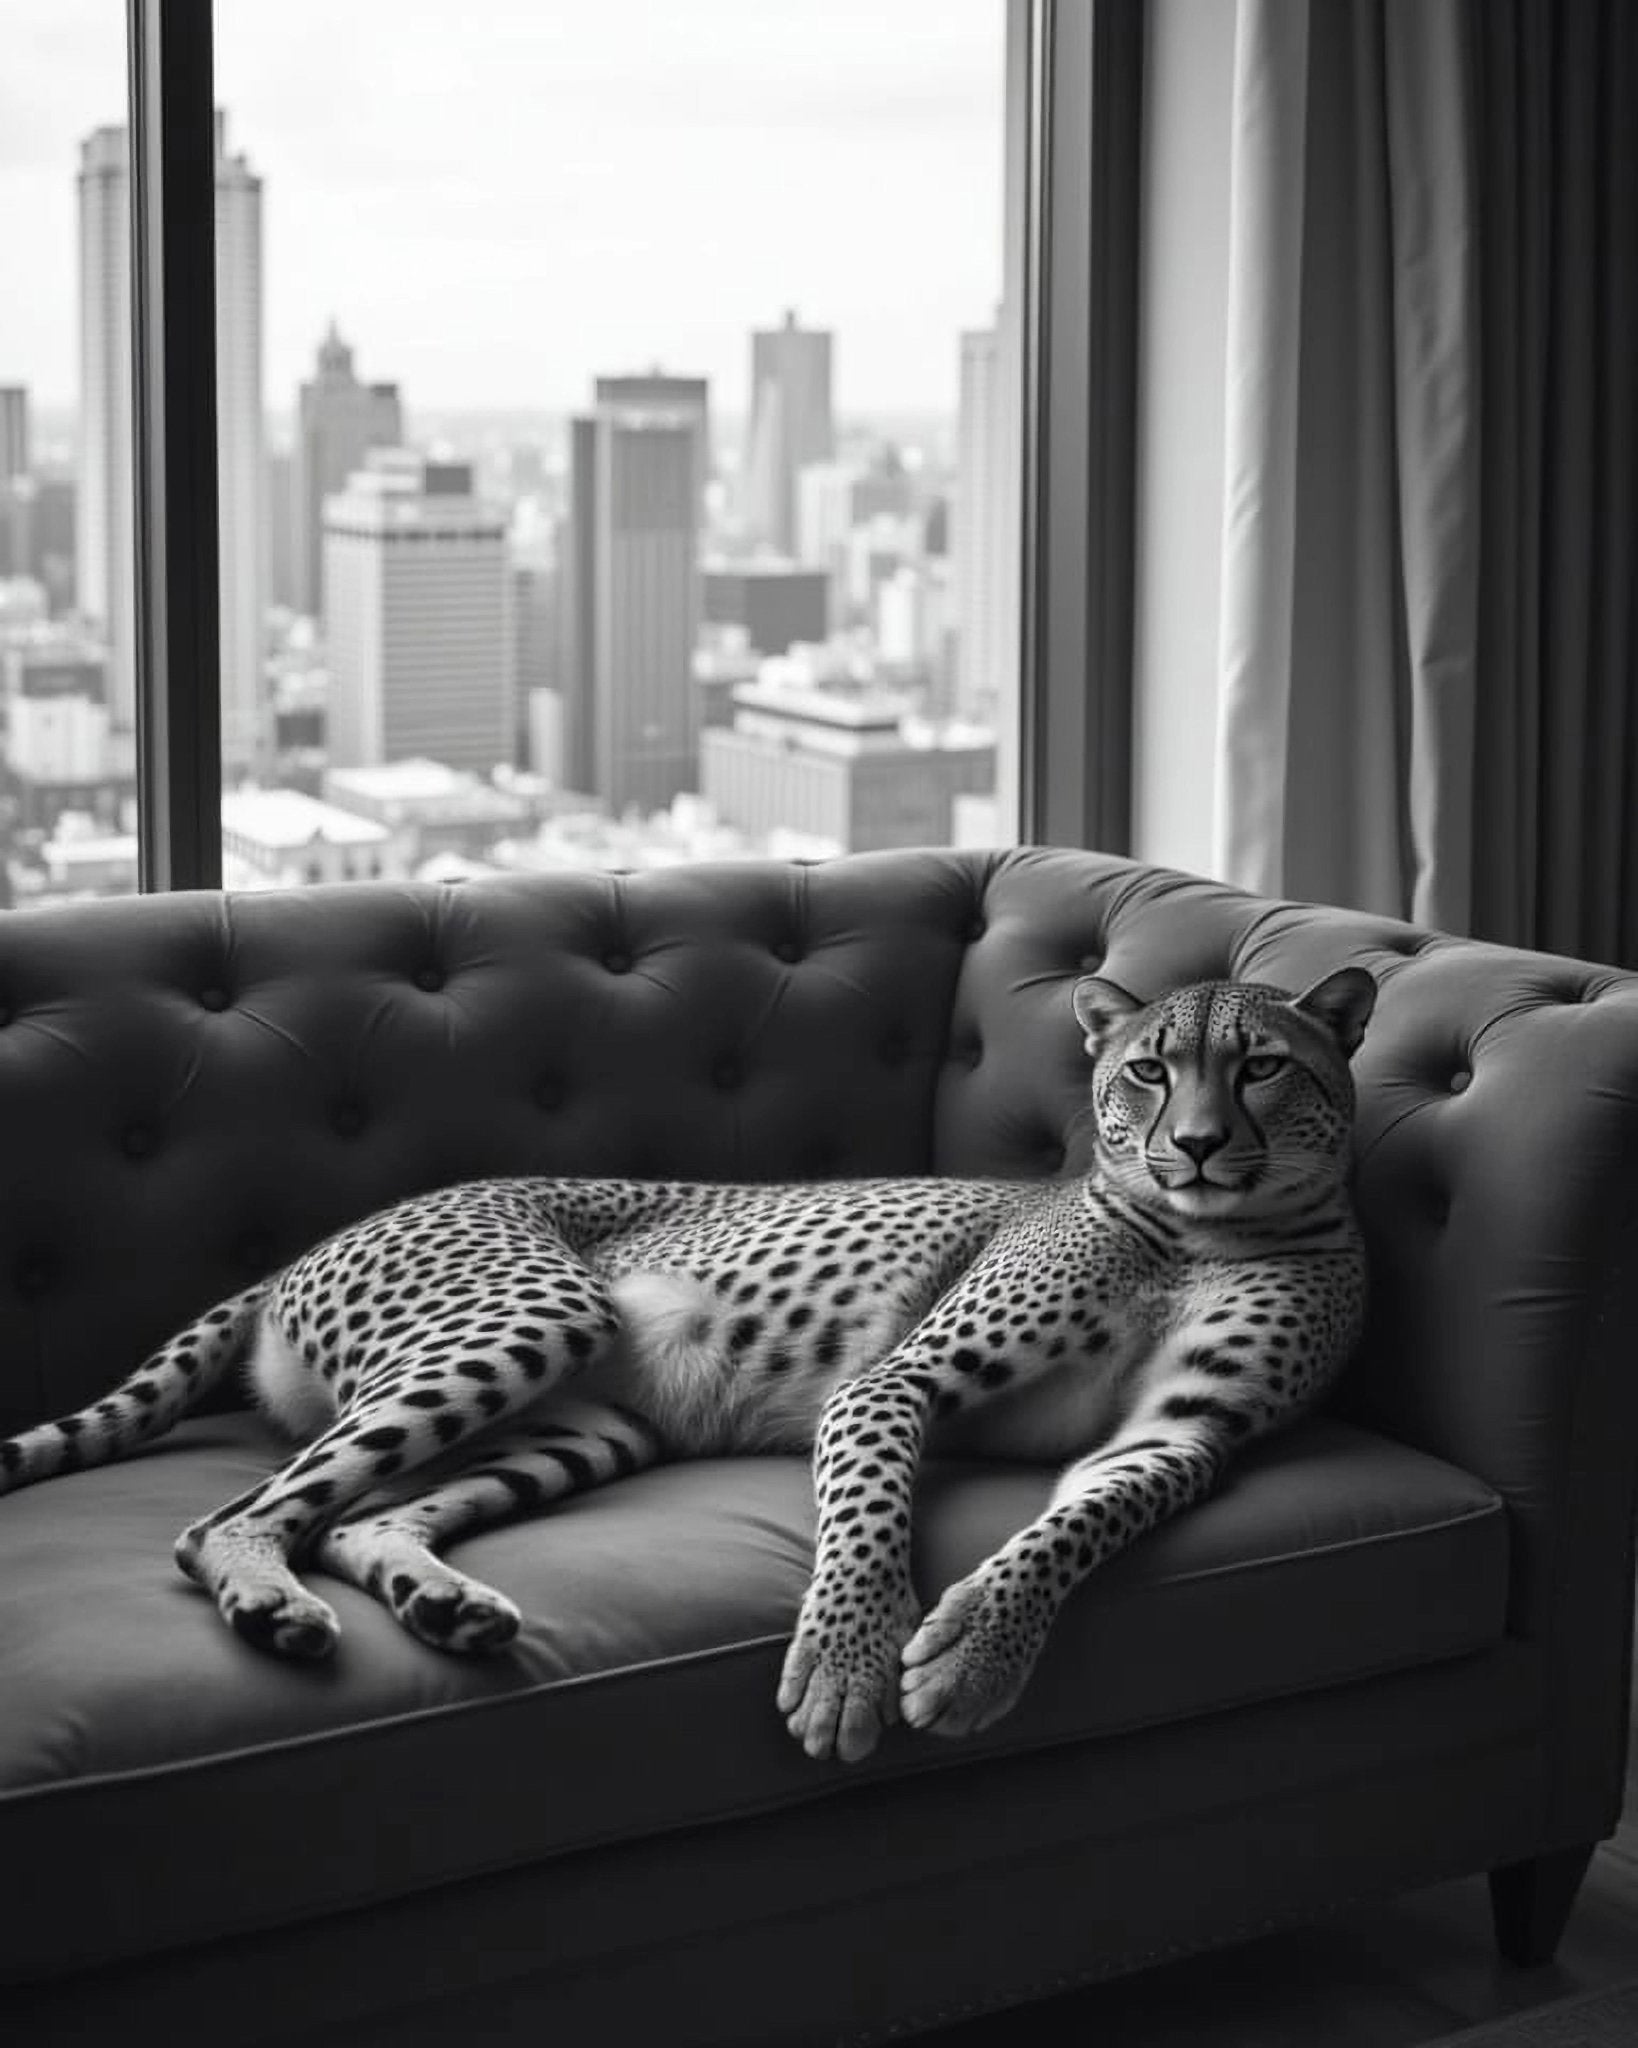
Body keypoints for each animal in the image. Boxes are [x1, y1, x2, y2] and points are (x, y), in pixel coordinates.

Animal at [0, 965, 1376, 1765]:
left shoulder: (1179, 1433)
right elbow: (869, 1519)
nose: (1196, 1145)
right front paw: (850, 1664)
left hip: (589, 1421)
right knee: (230, 1516)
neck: (1203, 1229)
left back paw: (440, 1603)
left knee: (356, 1516)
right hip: (531, 1319)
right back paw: (270, 1603)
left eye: (1261, 1065)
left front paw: (976, 1649)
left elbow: (1077, 1527)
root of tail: (315, 1240)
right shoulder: (894, 1382)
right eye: (1146, 1068)